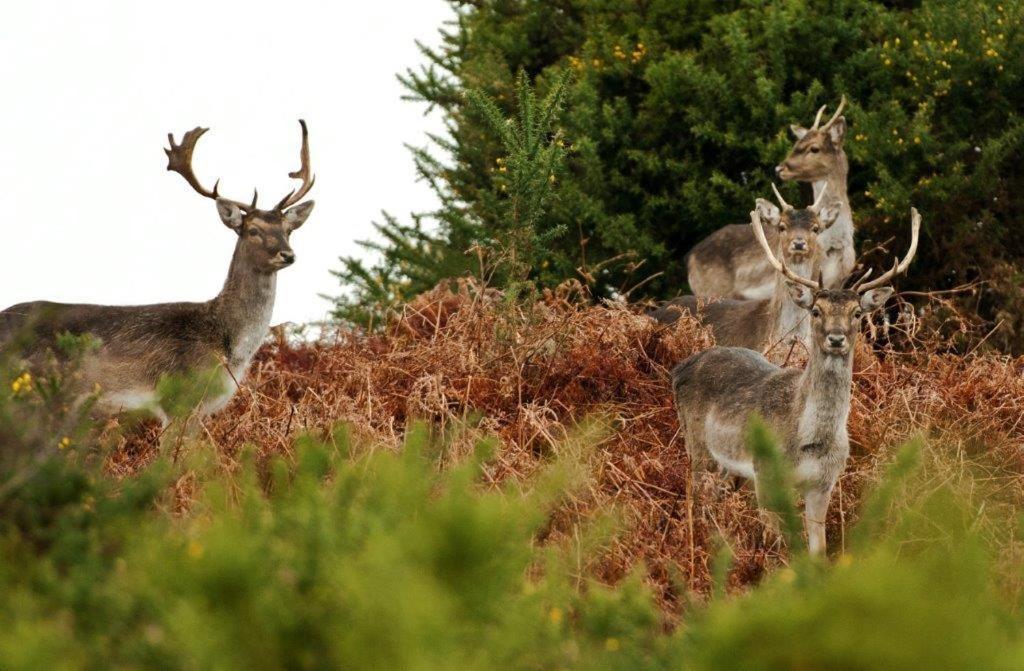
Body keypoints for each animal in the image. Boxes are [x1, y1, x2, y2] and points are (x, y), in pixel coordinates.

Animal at [671, 204, 921, 557]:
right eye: (816, 311)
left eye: (857, 313)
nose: (836, 338)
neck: (810, 441)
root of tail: (682, 366)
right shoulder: (765, 475)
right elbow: (776, 546)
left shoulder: (824, 482)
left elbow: (818, 550)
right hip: (696, 444)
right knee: (694, 497)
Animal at [688, 97, 856, 299]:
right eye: (795, 146)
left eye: (814, 148)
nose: (780, 168)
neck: (834, 243)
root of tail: (690, 259)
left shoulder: (839, 281)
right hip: (712, 291)